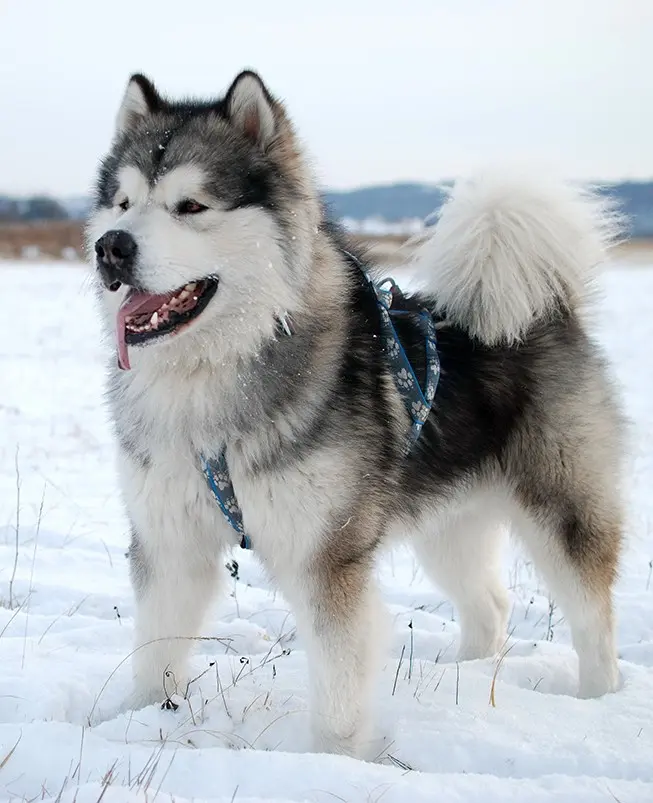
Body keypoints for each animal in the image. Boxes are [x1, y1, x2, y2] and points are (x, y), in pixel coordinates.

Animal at [85, 69, 620, 760]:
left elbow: (339, 681)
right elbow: (155, 651)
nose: (111, 247)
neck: (214, 377)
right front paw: (137, 723)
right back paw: (466, 681)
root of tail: (548, 308)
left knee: (593, 617)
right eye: (123, 203)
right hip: (450, 523)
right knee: (491, 604)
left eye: (191, 206)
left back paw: (600, 699)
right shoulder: (168, 540)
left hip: (563, 508)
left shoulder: (327, 556)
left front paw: (337, 762)